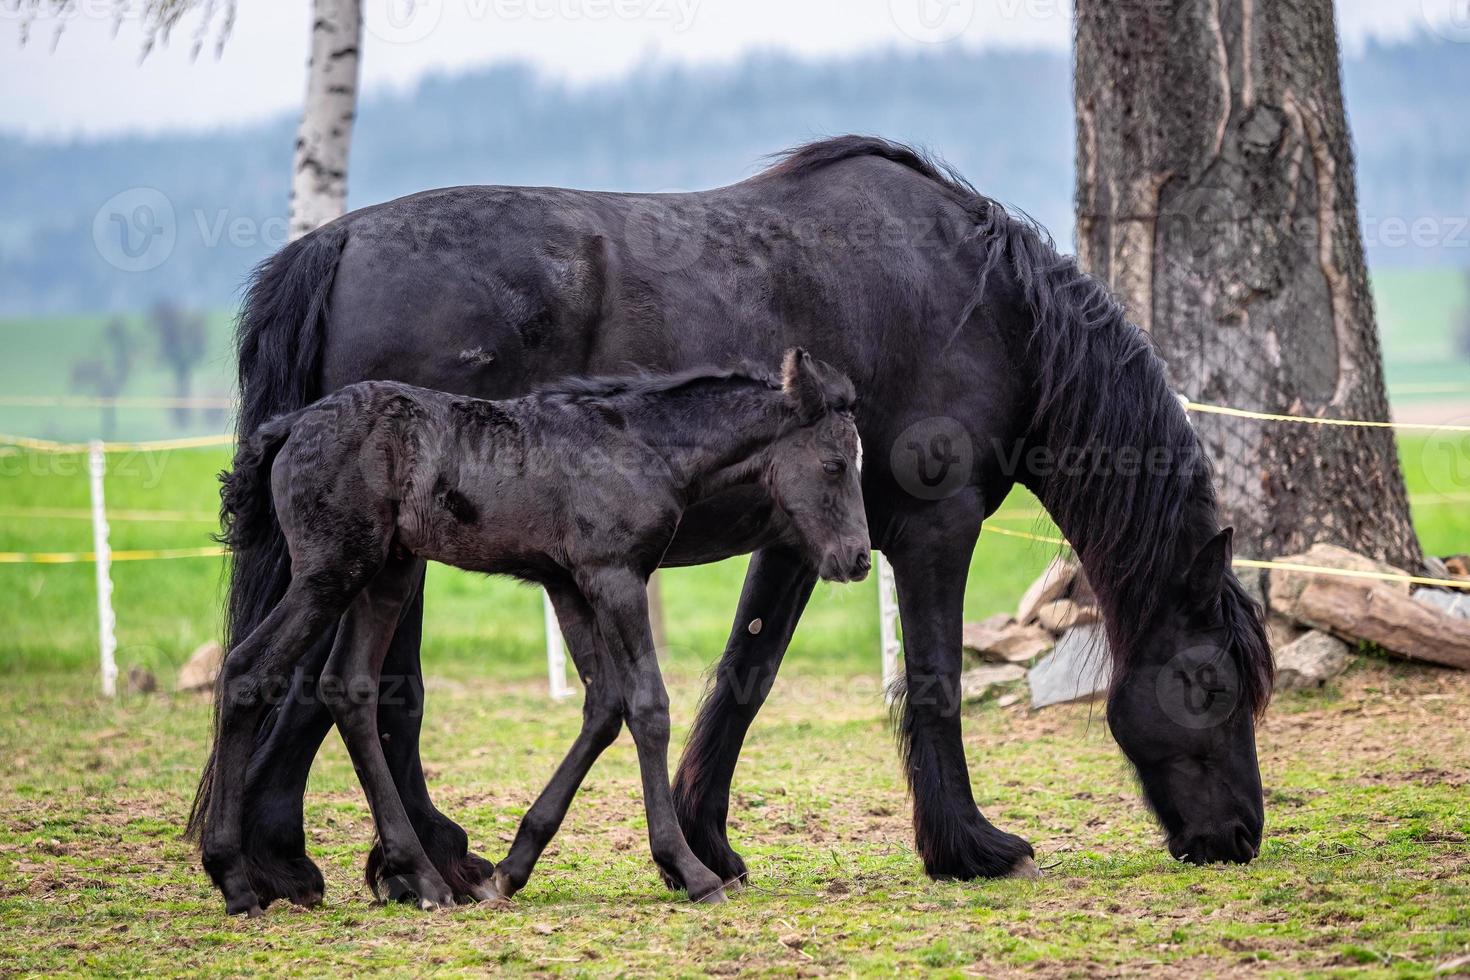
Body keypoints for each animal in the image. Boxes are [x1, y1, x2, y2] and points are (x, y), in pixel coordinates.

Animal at [194, 348, 858, 916]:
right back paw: (235, 881)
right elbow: (648, 707)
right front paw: (692, 871)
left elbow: (604, 707)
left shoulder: (567, 584)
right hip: (330, 572)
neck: (638, 446)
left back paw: (425, 878)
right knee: (248, 672)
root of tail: (291, 426)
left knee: (349, 688)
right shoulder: (615, 575)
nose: (854, 559)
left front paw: (510, 870)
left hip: (388, 573)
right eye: (833, 464)